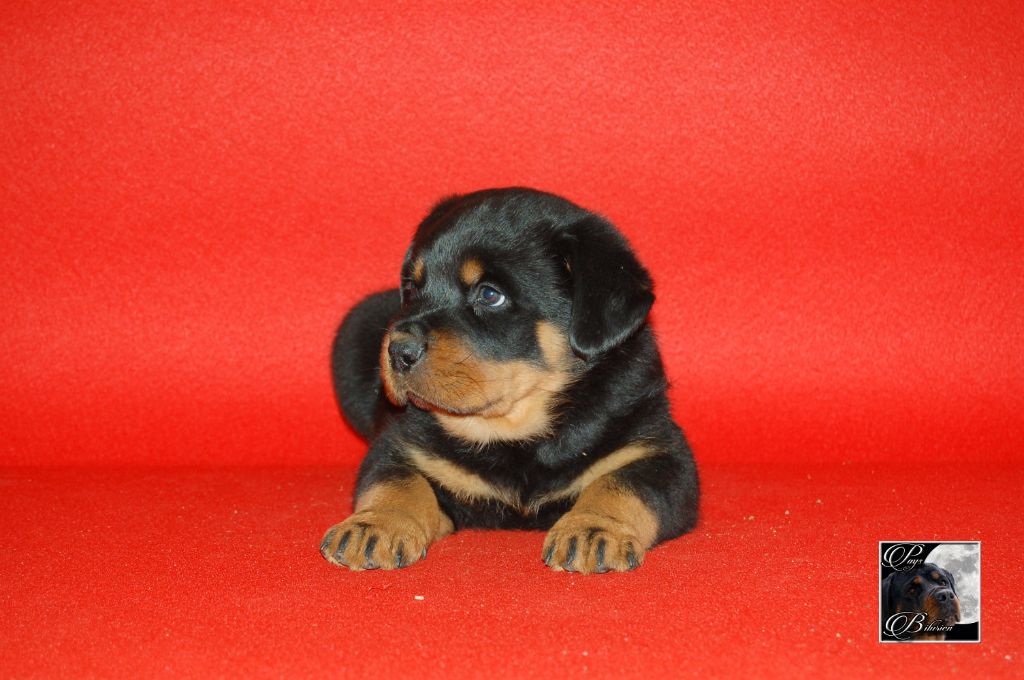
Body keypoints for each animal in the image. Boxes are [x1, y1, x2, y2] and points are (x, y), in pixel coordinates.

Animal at [320, 188, 699, 573]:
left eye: (490, 295)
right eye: (412, 288)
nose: (398, 350)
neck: (517, 428)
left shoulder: (660, 451)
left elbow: (621, 484)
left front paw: (592, 530)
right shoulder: (398, 444)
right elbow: (398, 484)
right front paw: (373, 526)